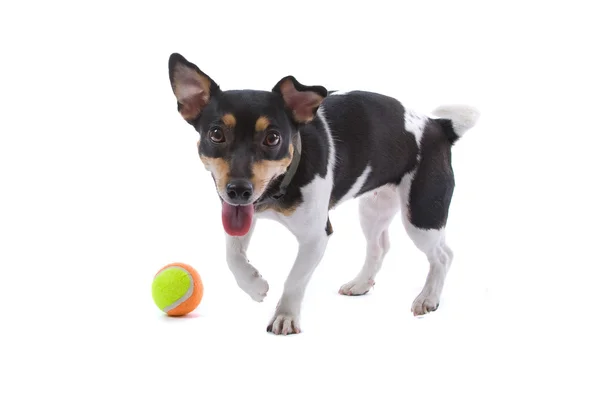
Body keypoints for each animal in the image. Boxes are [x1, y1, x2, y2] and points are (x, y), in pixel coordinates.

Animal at [166, 53, 480, 334]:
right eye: (216, 134)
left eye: (273, 138)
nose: (239, 190)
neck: (279, 189)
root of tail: (438, 126)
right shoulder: (241, 216)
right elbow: (232, 256)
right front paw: (254, 286)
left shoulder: (316, 237)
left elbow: (294, 279)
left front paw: (285, 317)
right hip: (374, 209)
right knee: (379, 246)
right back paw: (361, 284)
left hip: (422, 216)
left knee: (443, 255)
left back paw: (428, 297)